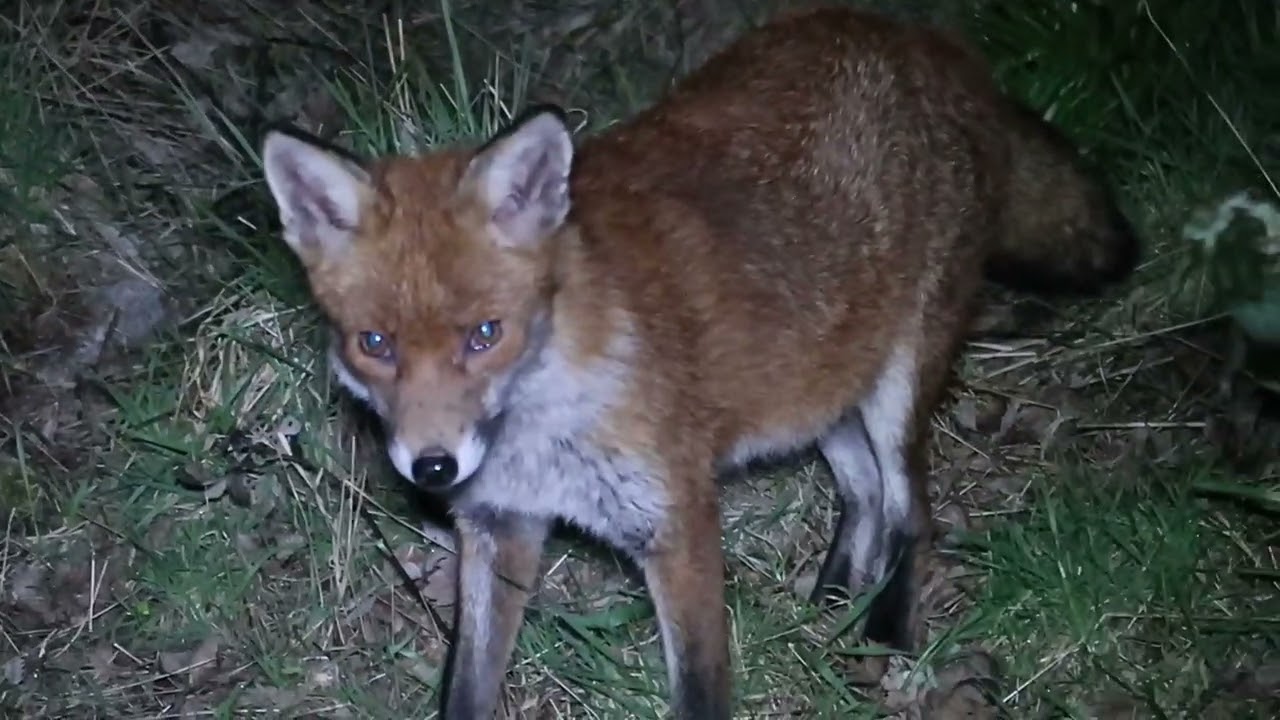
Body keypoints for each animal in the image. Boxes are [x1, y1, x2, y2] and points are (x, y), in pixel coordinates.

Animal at [260, 6, 1138, 719]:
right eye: (375, 345)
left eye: (484, 334)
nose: (432, 467)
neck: (544, 424)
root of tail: (921, 40)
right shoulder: (500, 526)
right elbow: (467, 689)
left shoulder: (678, 525)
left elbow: (700, 690)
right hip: (814, 385)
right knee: (863, 490)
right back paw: (832, 594)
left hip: (896, 386)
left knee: (910, 509)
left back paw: (885, 631)